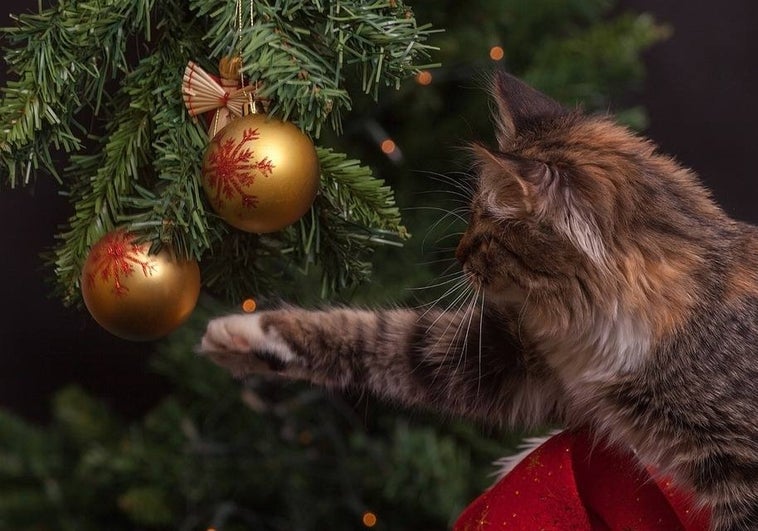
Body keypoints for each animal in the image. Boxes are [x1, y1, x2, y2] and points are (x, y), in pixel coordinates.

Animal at [197, 71, 758, 531]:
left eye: (486, 231)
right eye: (470, 216)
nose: (458, 252)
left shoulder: (740, 472)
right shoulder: (514, 361)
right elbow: (379, 337)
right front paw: (245, 334)